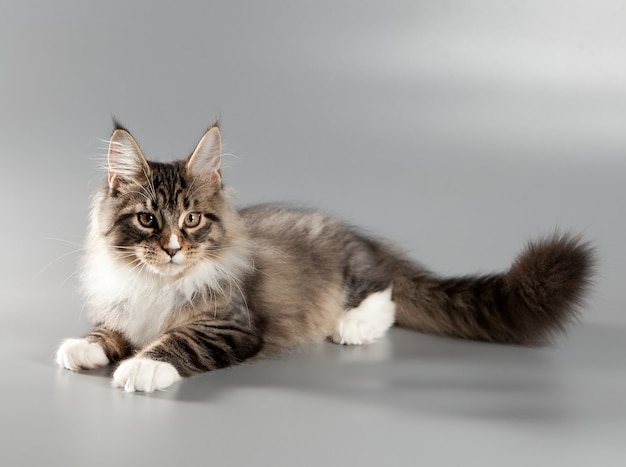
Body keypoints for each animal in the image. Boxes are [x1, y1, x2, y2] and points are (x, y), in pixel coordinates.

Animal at [56, 122, 592, 394]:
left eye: (191, 220)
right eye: (148, 220)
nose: (171, 248)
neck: (159, 283)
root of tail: (354, 234)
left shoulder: (232, 324)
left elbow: (179, 340)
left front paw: (143, 366)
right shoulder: (124, 305)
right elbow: (109, 329)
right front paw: (85, 346)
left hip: (355, 273)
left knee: (386, 292)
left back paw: (352, 325)